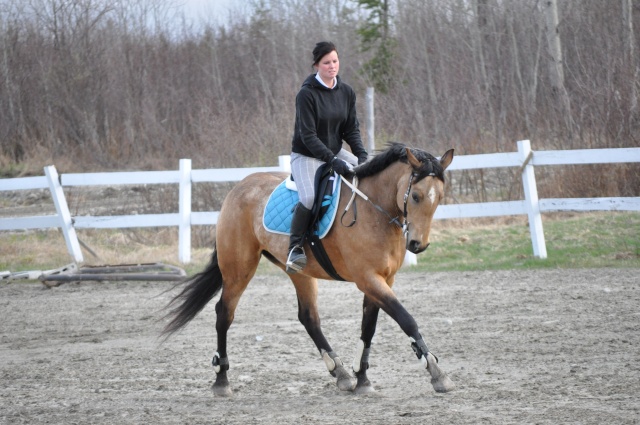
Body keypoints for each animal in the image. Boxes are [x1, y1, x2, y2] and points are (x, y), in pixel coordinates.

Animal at [164, 142, 456, 394]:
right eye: (416, 196)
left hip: (298, 273)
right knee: (224, 313)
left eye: (440, 197)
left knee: (309, 318)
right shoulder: (368, 279)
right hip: (239, 269)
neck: (374, 210)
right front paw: (436, 372)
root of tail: (238, 187)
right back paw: (222, 380)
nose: (418, 245)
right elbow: (406, 318)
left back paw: (341, 373)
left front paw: (362, 378)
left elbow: (369, 327)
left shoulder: (384, 279)